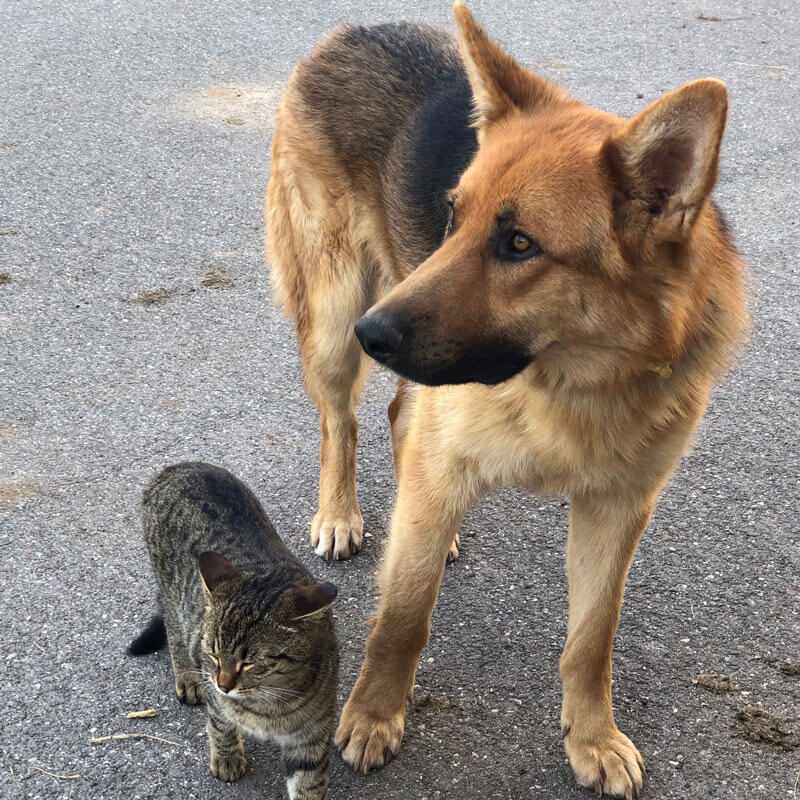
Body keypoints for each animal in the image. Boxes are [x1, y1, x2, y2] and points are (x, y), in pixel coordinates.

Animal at [127, 462, 338, 800]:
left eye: (249, 662)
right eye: (212, 654)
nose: (223, 684)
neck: (269, 705)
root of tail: (177, 466)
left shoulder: (311, 736)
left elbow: (309, 783)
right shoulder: (215, 695)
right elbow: (221, 725)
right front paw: (227, 758)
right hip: (171, 594)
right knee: (174, 632)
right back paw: (187, 677)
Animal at [266, 3, 748, 796]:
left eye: (520, 244)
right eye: (451, 216)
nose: (376, 334)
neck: (575, 381)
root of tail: (356, 29)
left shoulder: (616, 511)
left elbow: (591, 638)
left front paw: (591, 736)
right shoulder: (441, 466)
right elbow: (404, 613)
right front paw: (372, 713)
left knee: (397, 418)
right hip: (335, 319)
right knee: (342, 420)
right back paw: (340, 514)